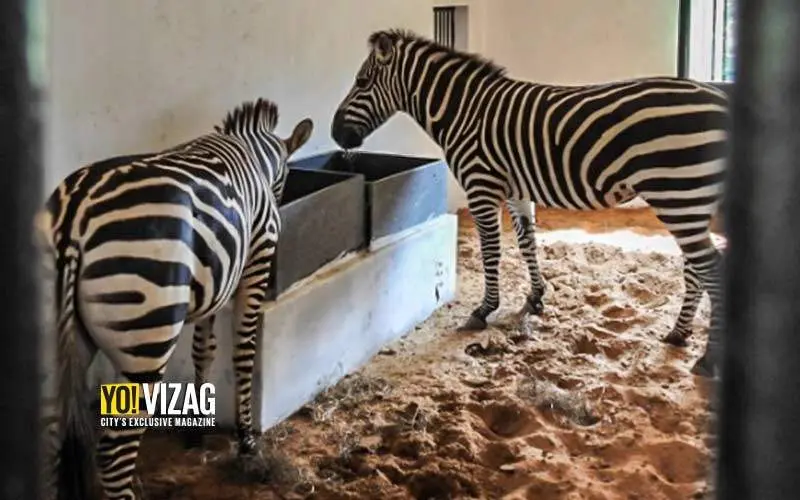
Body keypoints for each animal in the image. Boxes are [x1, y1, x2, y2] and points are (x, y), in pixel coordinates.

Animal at [35, 98, 313, 500]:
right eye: (285, 180)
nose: (279, 201)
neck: (253, 154)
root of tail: (74, 216)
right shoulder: (256, 260)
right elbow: (243, 353)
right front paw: (247, 444)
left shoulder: (213, 281)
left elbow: (204, 349)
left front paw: (197, 429)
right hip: (146, 337)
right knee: (113, 451)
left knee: (49, 438)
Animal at [330, 29, 727, 377]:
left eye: (362, 82)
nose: (336, 134)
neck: (463, 112)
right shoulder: (516, 188)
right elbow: (527, 242)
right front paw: (536, 297)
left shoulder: (481, 185)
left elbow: (491, 251)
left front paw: (484, 310)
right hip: (690, 199)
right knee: (696, 267)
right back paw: (678, 333)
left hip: (677, 192)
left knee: (710, 268)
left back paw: (709, 359)